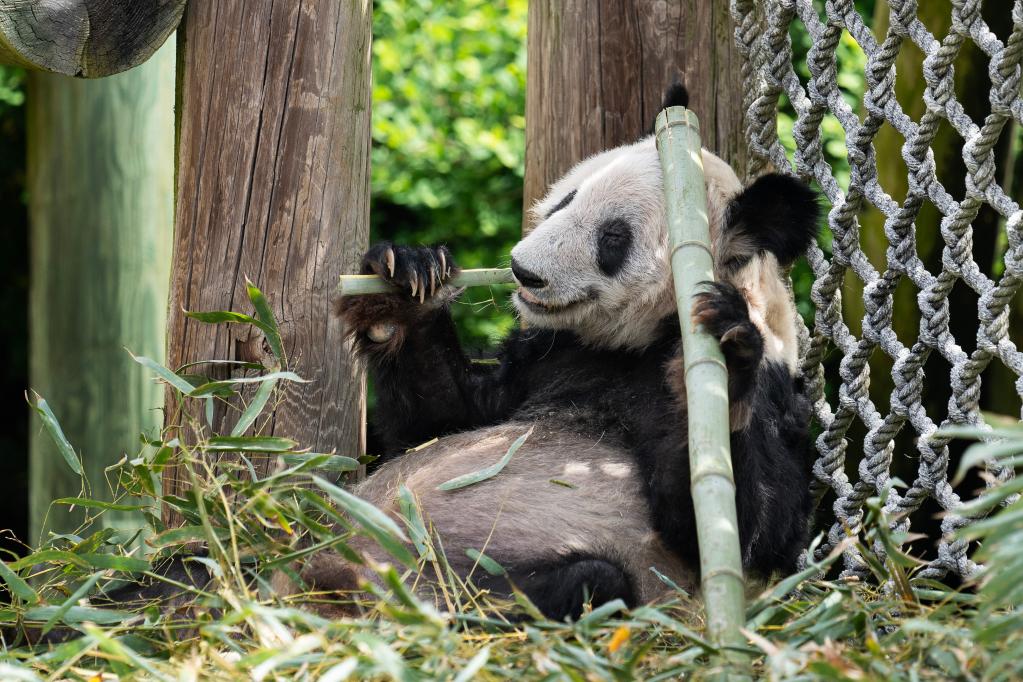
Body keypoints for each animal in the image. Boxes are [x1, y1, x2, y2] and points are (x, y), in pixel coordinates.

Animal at [282, 83, 822, 617]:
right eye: (567, 199)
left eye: (613, 238)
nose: (524, 272)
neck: (639, 340)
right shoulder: (550, 355)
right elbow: (440, 422)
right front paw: (405, 280)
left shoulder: (774, 391)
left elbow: (753, 529)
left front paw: (727, 359)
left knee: (589, 582)